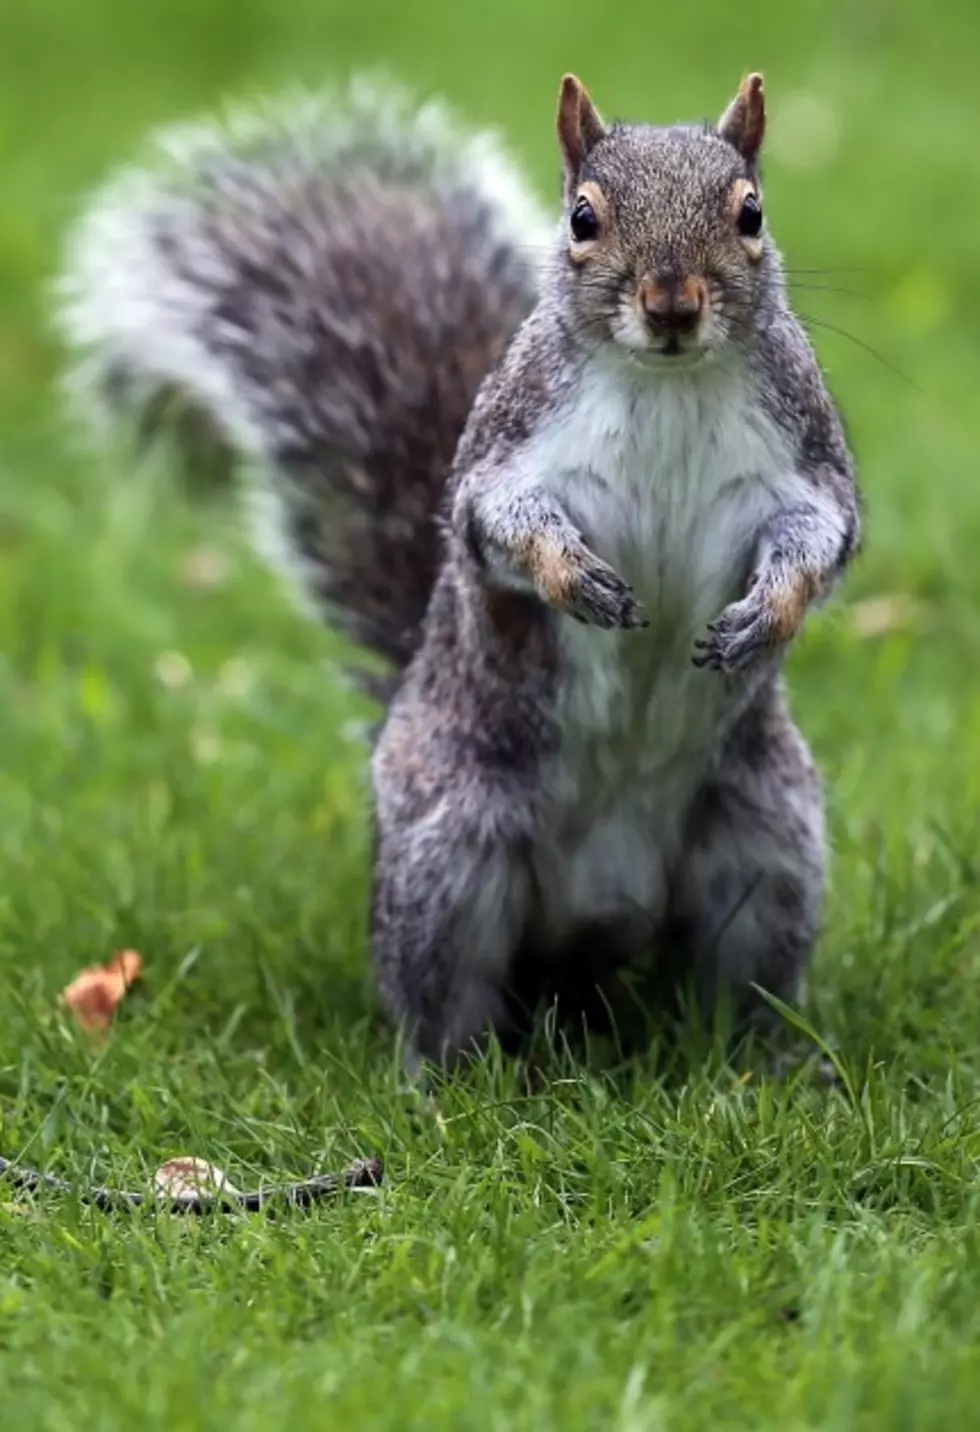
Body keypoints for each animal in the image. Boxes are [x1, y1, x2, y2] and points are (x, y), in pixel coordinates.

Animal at [57, 69, 859, 1076]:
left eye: (751, 212)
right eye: (583, 218)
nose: (672, 303)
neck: (668, 381)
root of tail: (597, 925)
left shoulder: (808, 459)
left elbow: (821, 536)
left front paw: (765, 614)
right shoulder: (505, 453)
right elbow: (497, 526)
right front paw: (574, 577)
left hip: (768, 841)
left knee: (743, 975)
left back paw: (772, 1062)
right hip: (451, 854)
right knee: (442, 990)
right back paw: (447, 1079)